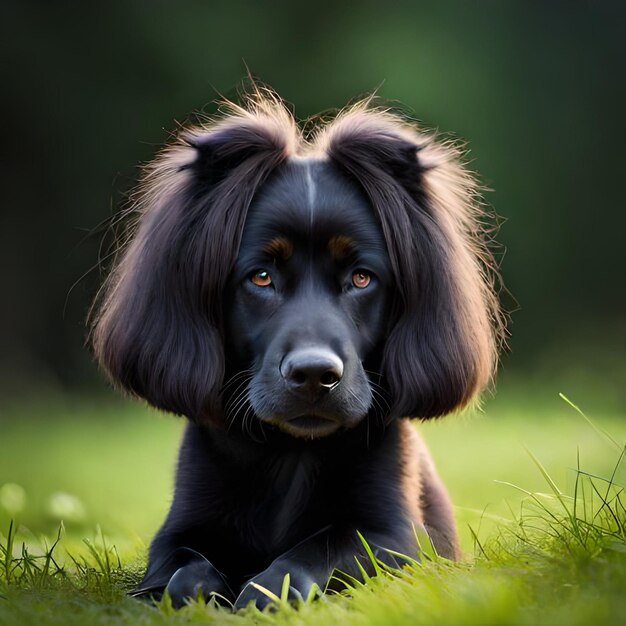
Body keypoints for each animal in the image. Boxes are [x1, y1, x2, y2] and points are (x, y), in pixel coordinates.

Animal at [90, 90, 502, 608]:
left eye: (361, 278)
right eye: (261, 277)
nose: (313, 376)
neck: (290, 452)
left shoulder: (392, 535)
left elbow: (317, 550)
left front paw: (264, 590)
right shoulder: (179, 527)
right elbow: (184, 567)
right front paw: (197, 590)